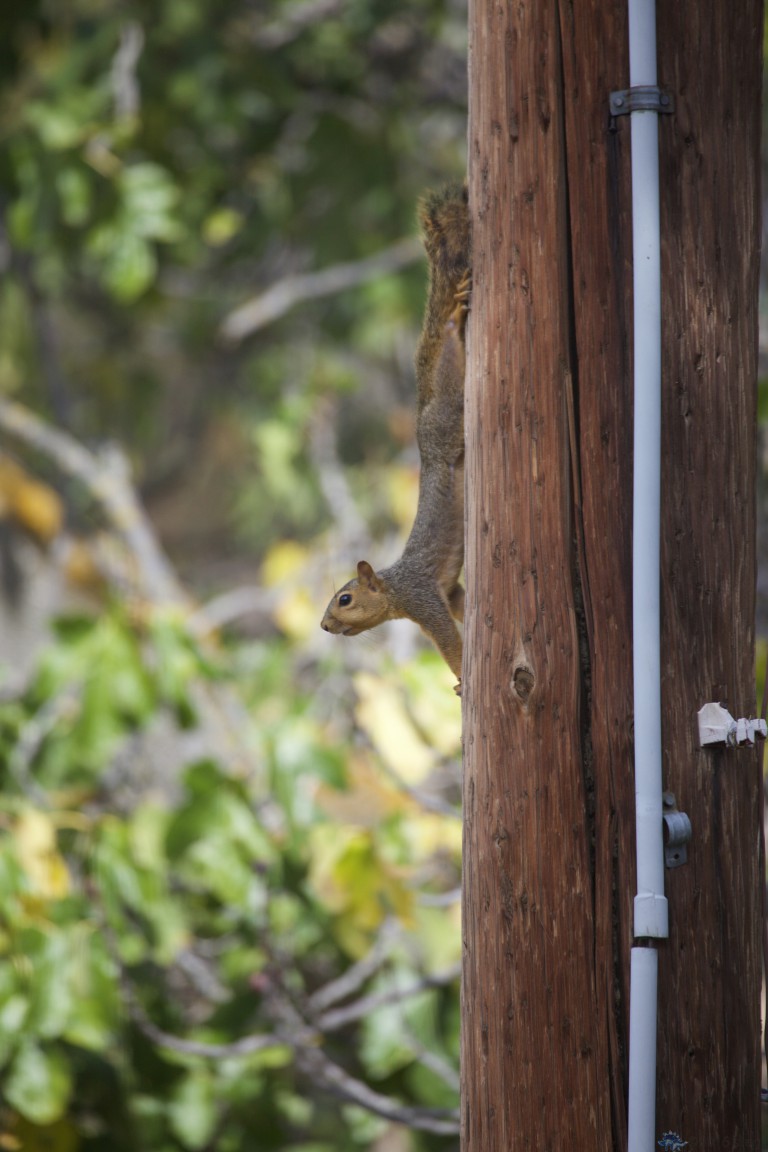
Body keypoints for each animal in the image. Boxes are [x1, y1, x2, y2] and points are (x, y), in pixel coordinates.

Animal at [321, 182, 470, 693]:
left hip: (445, 426)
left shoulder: (424, 600)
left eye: (345, 599)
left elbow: (450, 642)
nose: (323, 626)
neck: (394, 590)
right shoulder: (447, 591)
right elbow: (463, 605)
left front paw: (462, 681)